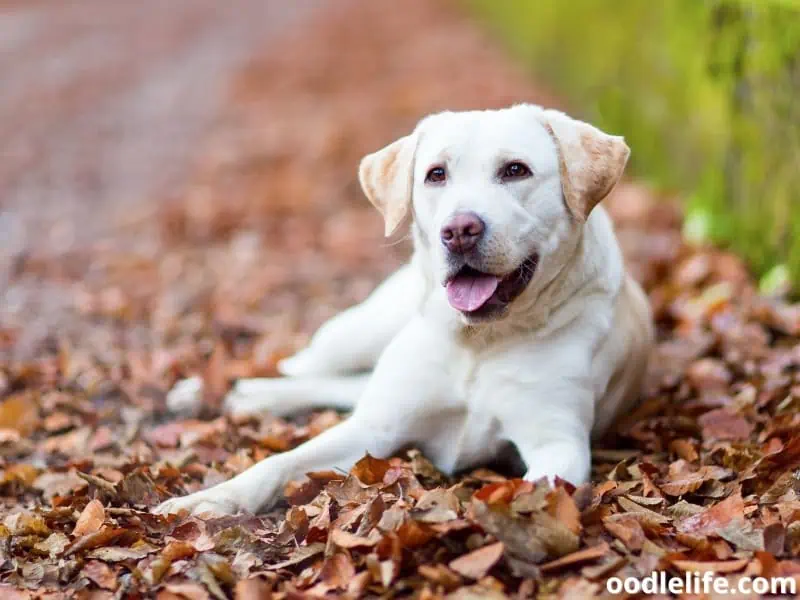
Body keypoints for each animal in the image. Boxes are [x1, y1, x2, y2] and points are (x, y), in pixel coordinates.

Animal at [155, 103, 648, 516]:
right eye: (436, 174)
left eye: (515, 170)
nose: (460, 230)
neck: (479, 341)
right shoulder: (374, 428)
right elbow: (279, 462)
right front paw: (209, 500)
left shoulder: (557, 443)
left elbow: (530, 490)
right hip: (356, 332)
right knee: (304, 366)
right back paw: (216, 391)